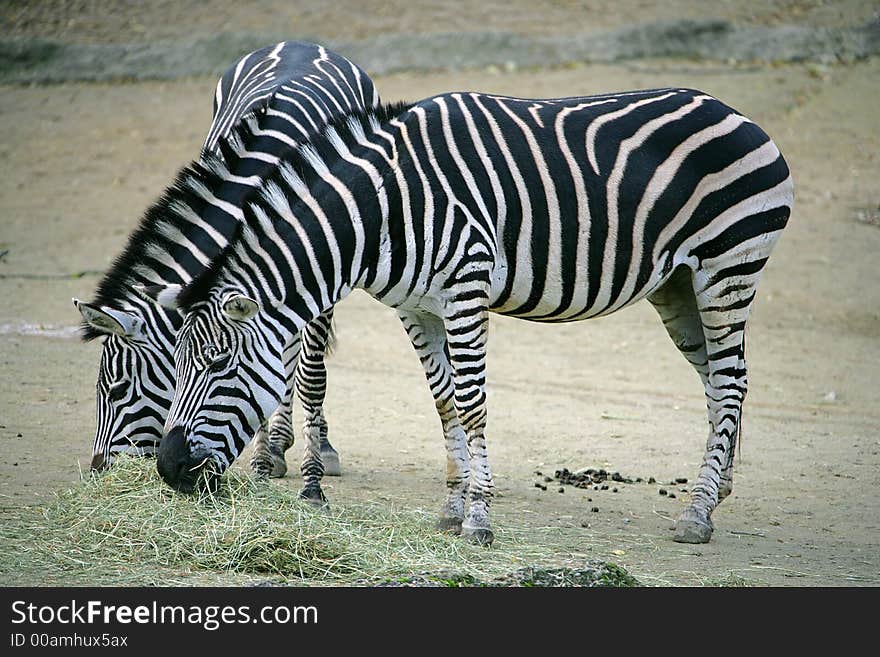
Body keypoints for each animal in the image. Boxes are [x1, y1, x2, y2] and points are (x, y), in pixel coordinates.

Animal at [75, 42, 378, 482]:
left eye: (117, 389)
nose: (100, 471)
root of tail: (300, 43)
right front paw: (264, 457)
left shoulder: (320, 272)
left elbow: (309, 375)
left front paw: (310, 461)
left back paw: (315, 443)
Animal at [143, 89, 792, 544]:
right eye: (174, 365)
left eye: (219, 364)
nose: (169, 469)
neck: (384, 209)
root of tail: (738, 114)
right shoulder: (415, 309)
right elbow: (444, 403)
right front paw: (452, 509)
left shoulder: (465, 291)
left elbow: (474, 403)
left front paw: (479, 518)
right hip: (678, 286)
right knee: (721, 381)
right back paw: (719, 490)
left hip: (727, 268)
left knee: (729, 383)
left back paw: (698, 514)